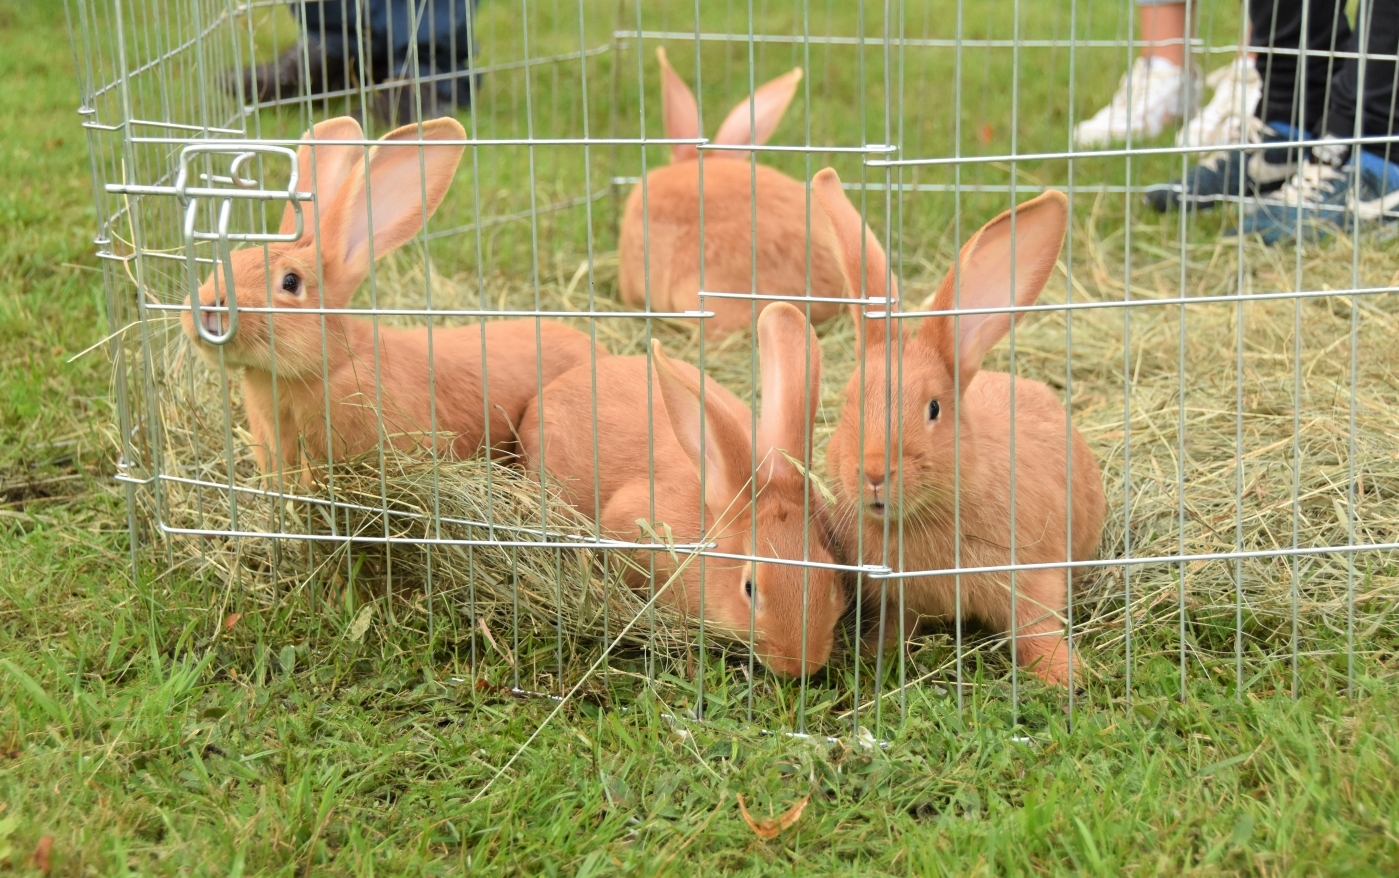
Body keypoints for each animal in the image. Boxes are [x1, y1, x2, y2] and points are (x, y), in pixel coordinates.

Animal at [811, 166, 1102, 685]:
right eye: (847, 401)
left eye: (934, 408)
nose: (873, 472)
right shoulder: (897, 600)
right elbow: (896, 627)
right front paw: (874, 652)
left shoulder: (1033, 579)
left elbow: (1035, 630)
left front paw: (1064, 675)